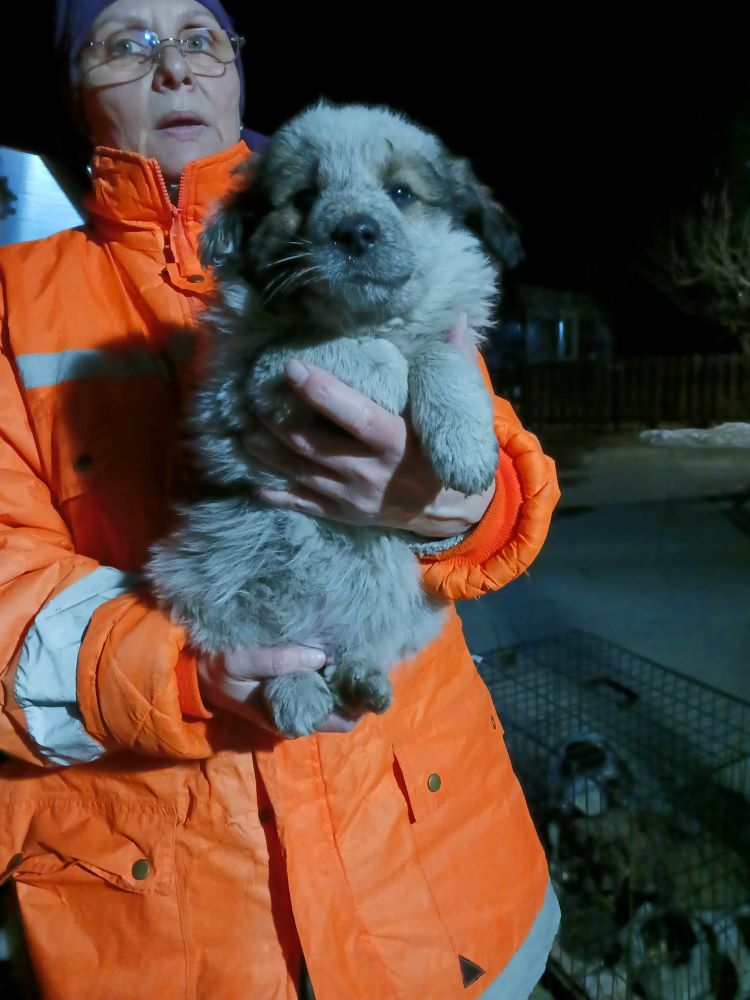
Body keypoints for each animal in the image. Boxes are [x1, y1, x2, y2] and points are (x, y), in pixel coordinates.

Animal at [147, 103, 524, 736]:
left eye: (401, 192)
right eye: (303, 197)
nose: (356, 231)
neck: (365, 317)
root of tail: (321, 629)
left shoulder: (447, 334)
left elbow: (437, 355)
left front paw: (465, 446)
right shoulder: (249, 380)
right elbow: (331, 349)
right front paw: (385, 369)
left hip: (400, 596)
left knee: (362, 642)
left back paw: (360, 677)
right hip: (203, 572)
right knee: (266, 645)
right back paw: (298, 693)